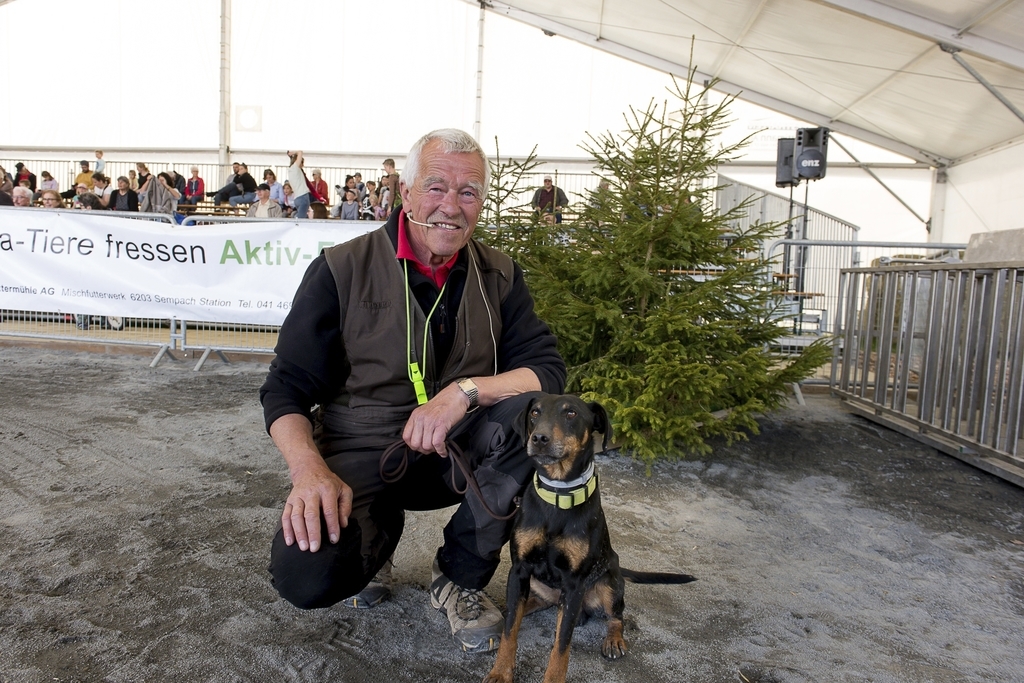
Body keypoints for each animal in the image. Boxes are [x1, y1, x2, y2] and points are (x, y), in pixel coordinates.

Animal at [481, 395, 692, 683]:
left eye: (571, 413)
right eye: (535, 413)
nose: (539, 438)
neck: (558, 495)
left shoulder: (574, 583)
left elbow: (562, 645)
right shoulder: (520, 570)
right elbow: (510, 631)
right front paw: (500, 672)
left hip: (609, 585)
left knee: (616, 617)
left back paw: (613, 640)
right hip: (535, 583)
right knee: (537, 603)